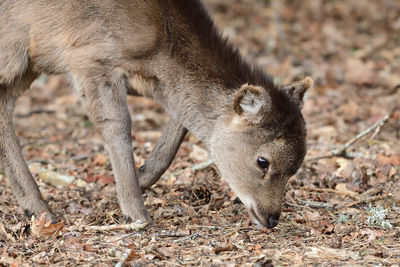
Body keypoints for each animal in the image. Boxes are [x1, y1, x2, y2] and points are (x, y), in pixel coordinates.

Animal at [0, 0, 310, 230]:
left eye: (296, 168)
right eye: (262, 161)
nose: (272, 218)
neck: (158, 52)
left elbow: (183, 118)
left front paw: (143, 176)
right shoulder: (86, 55)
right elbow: (118, 123)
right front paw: (136, 214)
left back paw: (36, 209)